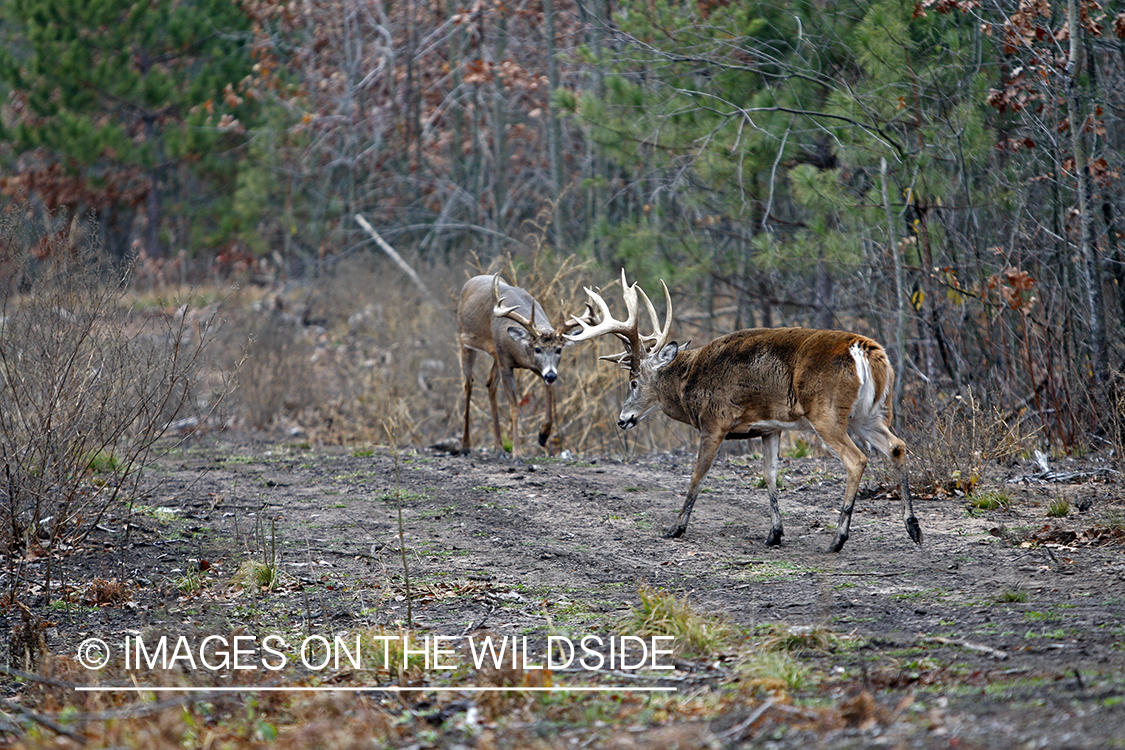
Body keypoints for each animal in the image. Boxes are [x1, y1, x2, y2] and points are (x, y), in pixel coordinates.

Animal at [459, 274, 576, 458]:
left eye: (559, 349)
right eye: (537, 349)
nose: (551, 375)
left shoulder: (531, 365)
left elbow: (550, 391)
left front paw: (543, 435)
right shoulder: (506, 363)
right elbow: (514, 408)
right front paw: (518, 455)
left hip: (496, 356)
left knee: (490, 384)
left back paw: (499, 448)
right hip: (465, 342)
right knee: (468, 385)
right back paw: (465, 446)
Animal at [567, 269, 918, 550]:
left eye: (633, 382)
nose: (622, 419)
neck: (688, 381)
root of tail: (863, 349)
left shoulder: (714, 421)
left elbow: (698, 474)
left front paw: (676, 527)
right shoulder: (770, 427)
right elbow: (770, 475)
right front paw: (775, 534)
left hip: (827, 413)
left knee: (857, 459)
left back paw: (838, 539)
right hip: (869, 414)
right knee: (897, 446)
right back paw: (913, 528)